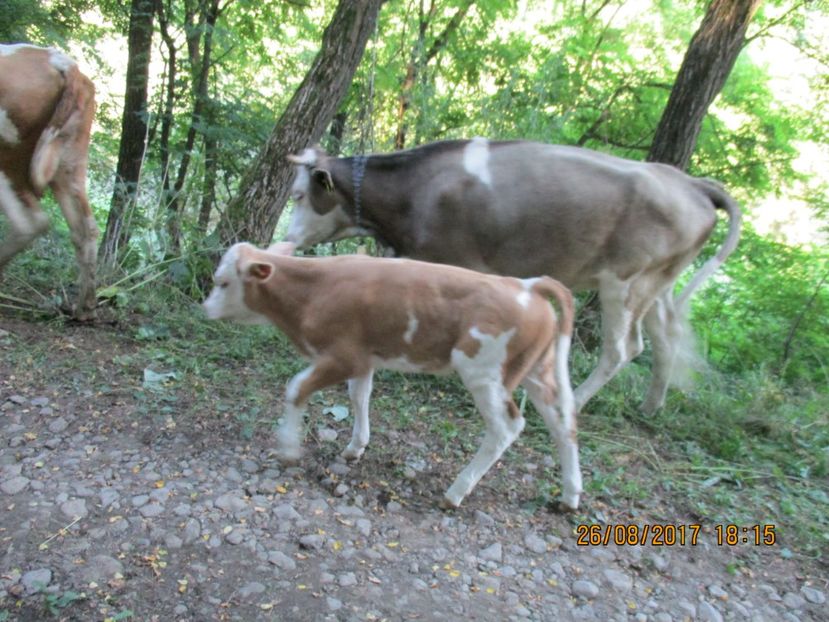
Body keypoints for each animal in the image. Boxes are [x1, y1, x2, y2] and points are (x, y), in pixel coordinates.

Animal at [0, 42, 98, 322]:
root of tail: (64, 64)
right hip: (69, 166)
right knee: (86, 228)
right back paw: (84, 308)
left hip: (9, 156)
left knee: (29, 221)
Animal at [203, 241, 580, 510]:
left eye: (223, 282)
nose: (205, 309)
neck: (313, 290)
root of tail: (527, 286)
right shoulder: (363, 359)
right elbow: (359, 396)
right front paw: (355, 447)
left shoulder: (343, 356)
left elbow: (296, 388)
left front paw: (288, 448)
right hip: (537, 371)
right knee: (563, 421)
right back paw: (570, 496)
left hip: (484, 374)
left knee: (506, 427)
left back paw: (455, 492)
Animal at [284, 139, 736, 416]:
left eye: (299, 194)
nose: (287, 238)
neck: (413, 193)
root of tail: (689, 181)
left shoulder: (455, 263)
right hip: (656, 283)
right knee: (665, 338)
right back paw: (651, 406)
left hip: (622, 282)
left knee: (622, 349)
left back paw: (574, 404)